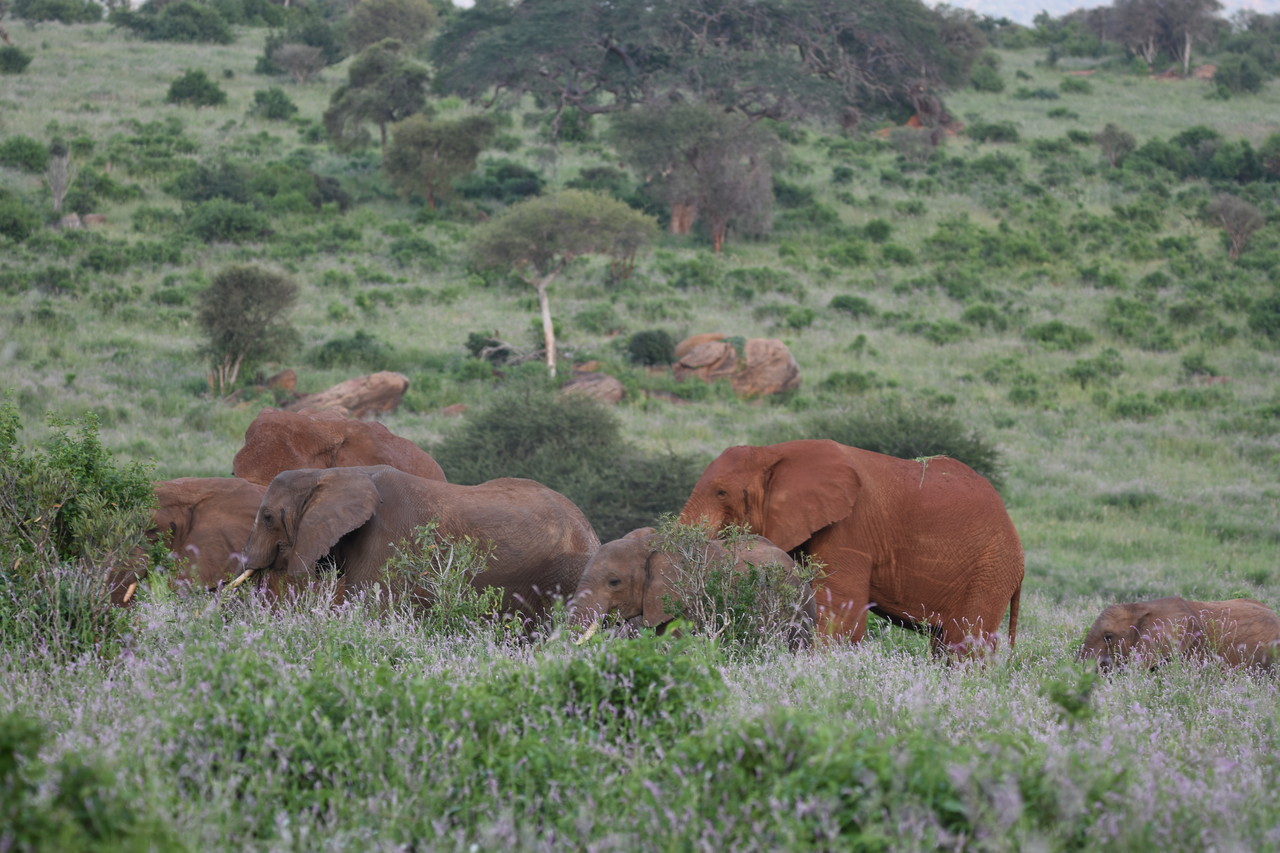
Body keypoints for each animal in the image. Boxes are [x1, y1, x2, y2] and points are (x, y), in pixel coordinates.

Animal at [680, 438, 1018, 650]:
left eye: (721, 492)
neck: (773, 452)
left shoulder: (851, 526)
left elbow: (840, 615)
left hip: (991, 567)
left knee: (965, 640)